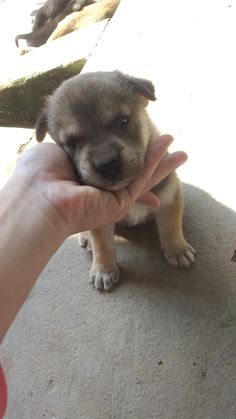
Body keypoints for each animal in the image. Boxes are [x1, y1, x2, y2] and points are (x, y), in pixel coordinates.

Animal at [35, 69, 195, 292]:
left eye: (122, 121)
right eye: (72, 142)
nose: (107, 165)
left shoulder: (168, 195)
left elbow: (171, 227)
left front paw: (177, 250)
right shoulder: (100, 218)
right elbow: (102, 245)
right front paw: (104, 270)